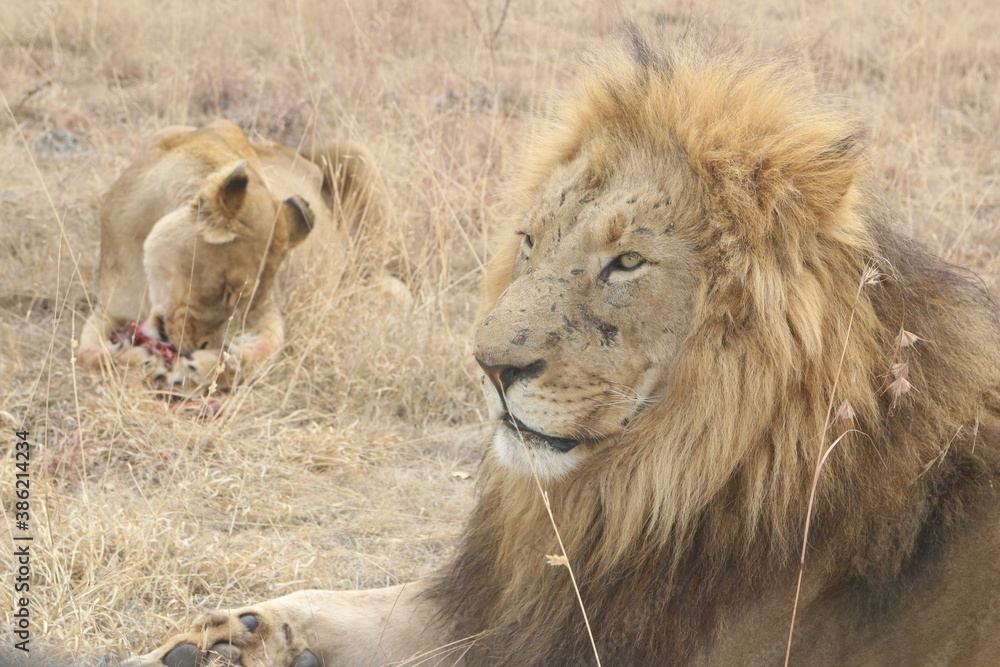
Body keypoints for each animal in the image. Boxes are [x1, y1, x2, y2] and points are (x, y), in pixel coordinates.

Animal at [78, 119, 381, 390]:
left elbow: (265, 352)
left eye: (247, 303)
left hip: (357, 154)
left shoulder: (267, 314)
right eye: (226, 291)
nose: (200, 347)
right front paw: (140, 362)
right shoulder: (110, 308)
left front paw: (200, 367)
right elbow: (85, 354)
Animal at [130, 40, 1000, 666]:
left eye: (628, 262)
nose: (490, 365)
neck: (657, 484)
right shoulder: (515, 605)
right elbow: (356, 601)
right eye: (529, 240)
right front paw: (224, 638)